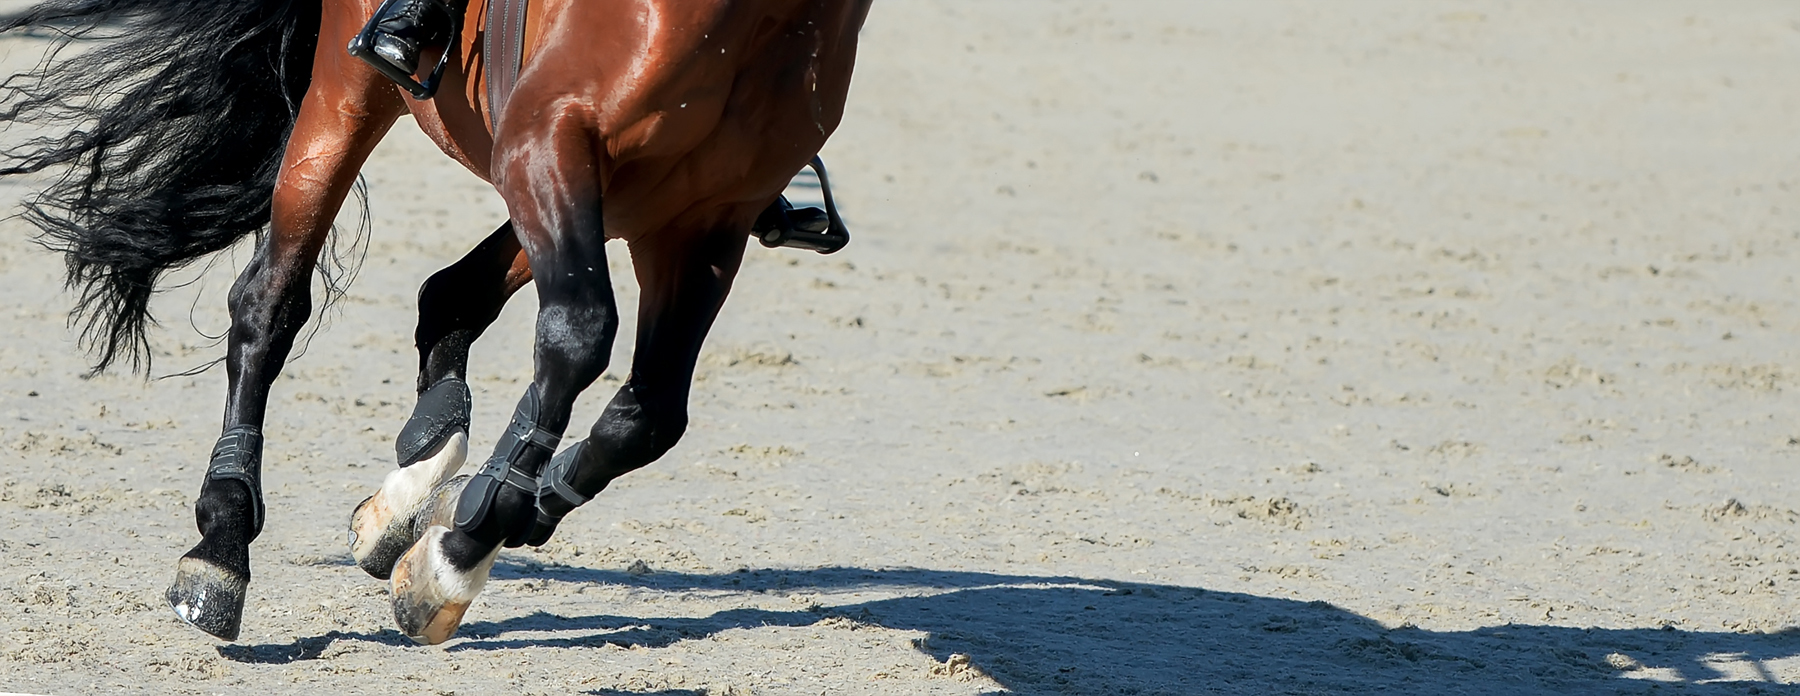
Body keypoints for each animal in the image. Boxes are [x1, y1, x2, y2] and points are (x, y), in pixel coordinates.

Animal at [0, 0, 872, 644]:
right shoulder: (551, 137)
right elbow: (580, 334)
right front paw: (460, 548)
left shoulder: (704, 221)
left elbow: (649, 414)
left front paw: (484, 519)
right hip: (354, 91)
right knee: (269, 304)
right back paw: (222, 543)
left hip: (610, 196)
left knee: (451, 296)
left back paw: (419, 476)